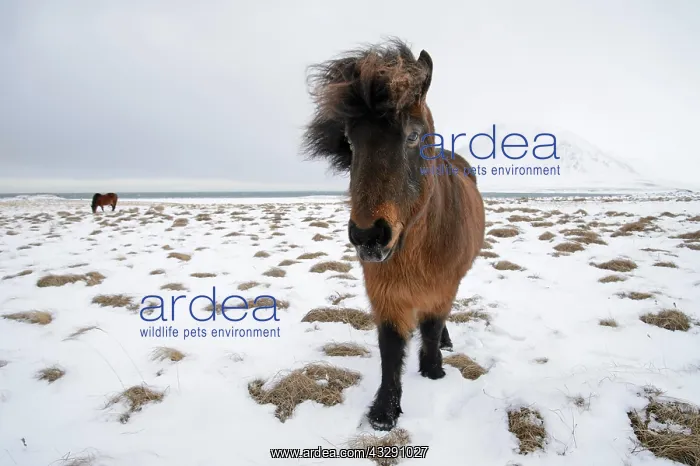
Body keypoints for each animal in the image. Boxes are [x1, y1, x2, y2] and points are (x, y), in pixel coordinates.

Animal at [301, 38, 485, 431]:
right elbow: (390, 345)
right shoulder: (383, 288)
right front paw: (385, 411)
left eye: (413, 135)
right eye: (350, 142)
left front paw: (432, 371)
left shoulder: (442, 285)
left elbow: (431, 326)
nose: (369, 236)